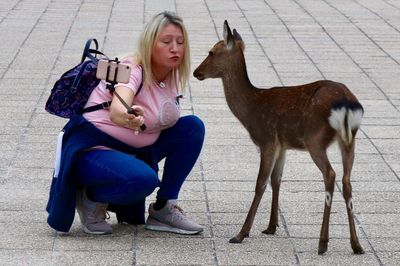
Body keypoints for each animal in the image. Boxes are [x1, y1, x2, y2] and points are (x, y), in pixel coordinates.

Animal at [194, 19, 366, 255]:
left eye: (211, 52)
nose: (196, 72)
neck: (251, 109)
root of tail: (347, 103)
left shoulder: (266, 139)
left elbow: (260, 183)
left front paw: (241, 234)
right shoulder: (283, 145)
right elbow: (277, 180)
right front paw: (271, 226)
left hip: (315, 138)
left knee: (330, 175)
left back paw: (322, 243)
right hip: (349, 140)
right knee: (347, 180)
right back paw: (356, 245)